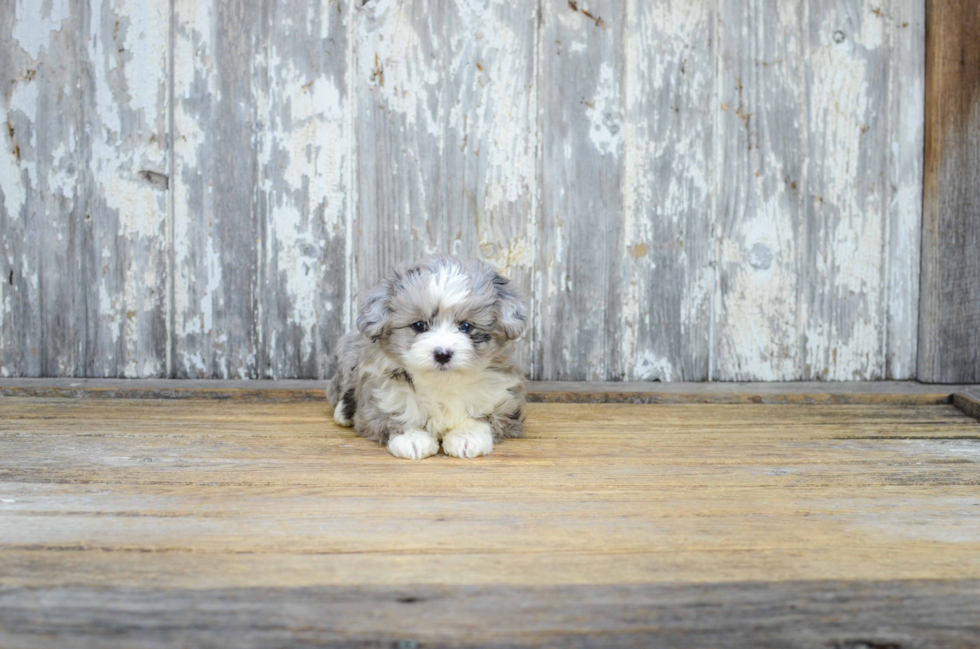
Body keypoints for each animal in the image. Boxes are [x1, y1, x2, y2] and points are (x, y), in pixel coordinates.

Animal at [328, 256, 528, 458]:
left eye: (466, 326)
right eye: (419, 325)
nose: (442, 354)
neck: (442, 382)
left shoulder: (503, 400)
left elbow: (483, 418)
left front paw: (467, 437)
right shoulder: (380, 396)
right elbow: (394, 416)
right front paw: (412, 439)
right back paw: (343, 413)